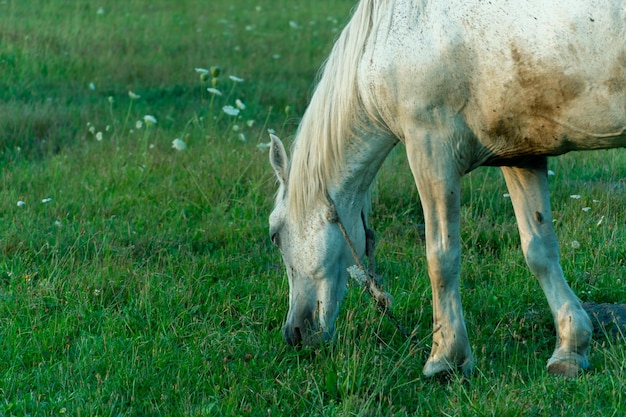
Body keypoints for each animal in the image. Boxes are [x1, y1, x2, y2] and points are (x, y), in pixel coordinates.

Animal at [266, 0, 624, 376]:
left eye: (275, 235)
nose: (294, 333)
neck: (389, 33)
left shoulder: (431, 150)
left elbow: (441, 257)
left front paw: (446, 358)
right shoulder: (521, 155)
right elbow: (540, 251)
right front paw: (570, 348)